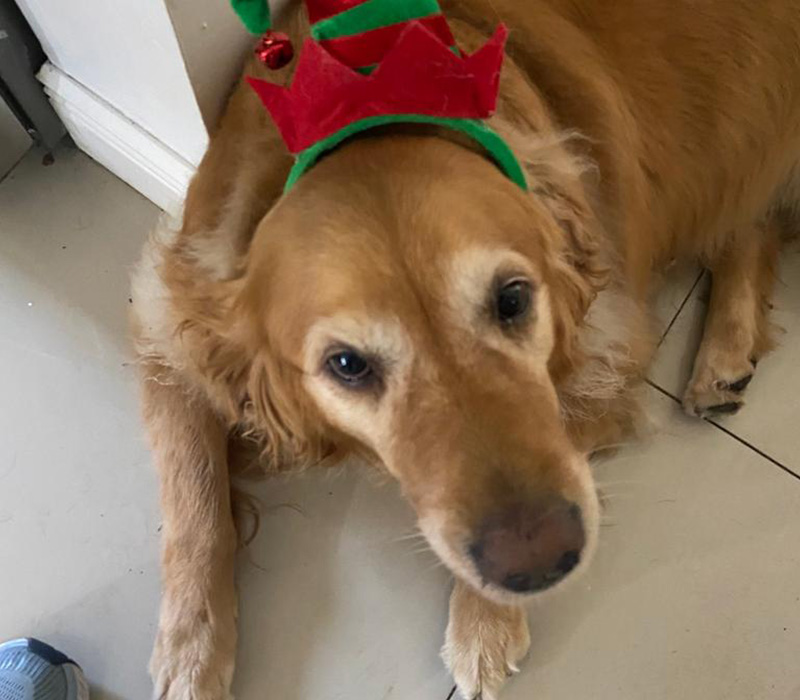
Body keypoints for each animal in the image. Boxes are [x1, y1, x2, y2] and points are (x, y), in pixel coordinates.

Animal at [131, 1, 800, 697]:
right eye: (347, 365)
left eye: (512, 299)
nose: (540, 562)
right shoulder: (175, 322)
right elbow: (193, 497)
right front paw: (190, 649)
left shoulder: (608, 357)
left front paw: (483, 624)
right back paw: (724, 360)